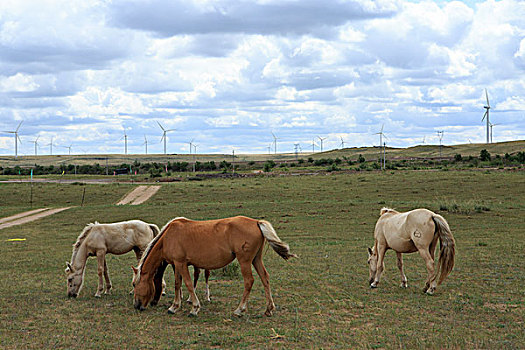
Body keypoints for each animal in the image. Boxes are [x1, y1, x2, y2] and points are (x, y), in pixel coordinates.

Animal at [133, 216, 296, 318]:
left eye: (135, 284)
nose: (136, 305)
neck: (168, 236)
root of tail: (256, 222)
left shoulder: (181, 263)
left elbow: (188, 284)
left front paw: (194, 308)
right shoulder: (177, 264)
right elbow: (177, 284)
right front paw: (174, 307)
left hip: (245, 261)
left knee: (249, 281)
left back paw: (239, 310)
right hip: (256, 259)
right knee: (265, 278)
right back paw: (269, 309)